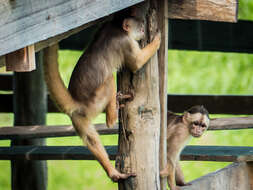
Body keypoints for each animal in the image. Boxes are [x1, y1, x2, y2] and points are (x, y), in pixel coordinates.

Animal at [43, 15, 161, 181]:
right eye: (139, 26)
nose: (143, 26)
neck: (117, 29)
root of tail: (77, 102)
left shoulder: (106, 27)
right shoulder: (126, 42)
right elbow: (136, 63)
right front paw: (157, 40)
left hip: (79, 117)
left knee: (90, 139)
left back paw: (113, 173)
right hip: (94, 102)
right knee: (109, 78)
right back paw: (112, 116)